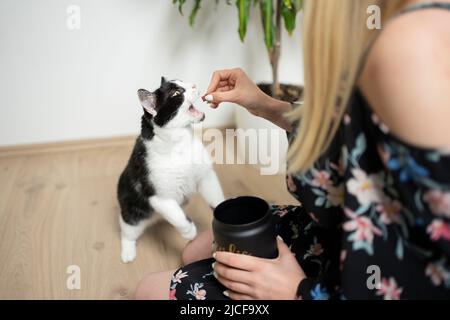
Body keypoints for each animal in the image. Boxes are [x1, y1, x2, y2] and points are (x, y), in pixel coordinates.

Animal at [117, 77, 225, 262]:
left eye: (184, 82)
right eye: (176, 93)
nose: (194, 84)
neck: (181, 143)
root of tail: (156, 219)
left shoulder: (206, 176)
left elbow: (216, 198)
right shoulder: (159, 197)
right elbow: (179, 217)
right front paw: (190, 233)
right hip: (133, 213)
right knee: (127, 232)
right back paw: (128, 253)